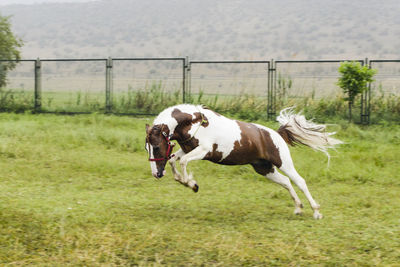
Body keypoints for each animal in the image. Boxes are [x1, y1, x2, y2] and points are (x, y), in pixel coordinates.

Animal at [145, 104, 342, 220]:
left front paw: (191, 184)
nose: (156, 174)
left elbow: (183, 163)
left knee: (299, 181)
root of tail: (276, 133)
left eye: (156, 146)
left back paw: (316, 211)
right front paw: (184, 181)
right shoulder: (187, 149)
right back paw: (298, 209)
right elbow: (173, 161)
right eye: (147, 148)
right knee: (286, 182)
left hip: (283, 163)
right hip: (265, 169)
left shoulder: (203, 151)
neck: (194, 122)